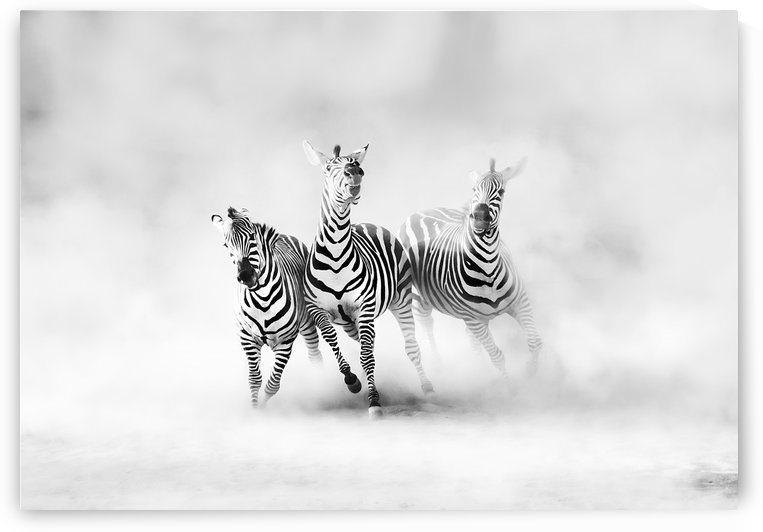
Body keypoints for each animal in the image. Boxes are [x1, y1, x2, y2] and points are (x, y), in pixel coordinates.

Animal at [211, 206, 362, 408]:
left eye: (252, 237)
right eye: (226, 246)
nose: (246, 276)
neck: (262, 299)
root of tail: (283, 236)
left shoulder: (285, 341)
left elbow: (273, 384)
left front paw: (263, 406)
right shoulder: (247, 339)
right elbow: (254, 379)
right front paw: (255, 409)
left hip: (307, 324)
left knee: (315, 355)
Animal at [302, 141, 434, 418]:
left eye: (356, 164)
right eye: (328, 168)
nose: (355, 172)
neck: (335, 254)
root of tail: (368, 224)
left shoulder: (364, 308)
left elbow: (366, 356)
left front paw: (374, 400)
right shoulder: (318, 310)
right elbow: (334, 343)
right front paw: (352, 381)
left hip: (401, 300)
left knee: (410, 346)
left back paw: (427, 388)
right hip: (350, 321)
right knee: (364, 342)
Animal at [398, 157, 543, 377]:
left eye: (501, 192)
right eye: (475, 189)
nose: (480, 217)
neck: (488, 266)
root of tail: (423, 211)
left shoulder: (520, 302)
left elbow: (535, 341)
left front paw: (532, 372)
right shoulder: (472, 318)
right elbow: (497, 356)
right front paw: (510, 385)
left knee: (470, 338)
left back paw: (479, 369)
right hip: (418, 296)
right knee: (426, 323)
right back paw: (439, 365)